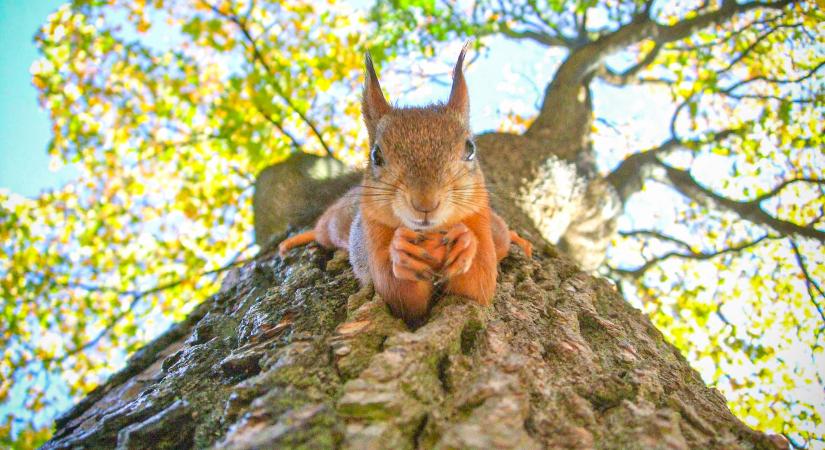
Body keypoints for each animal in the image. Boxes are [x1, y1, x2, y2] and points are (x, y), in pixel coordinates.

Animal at [278, 44, 536, 324]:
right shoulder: (372, 233)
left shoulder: (479, 221)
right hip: (337, 224)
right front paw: (401, 253)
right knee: (322, 230)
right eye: (376, 155)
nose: (425, 203)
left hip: (495, 230)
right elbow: (400, 296)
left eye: (470, 149)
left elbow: (478, 286)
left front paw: (465, 242)